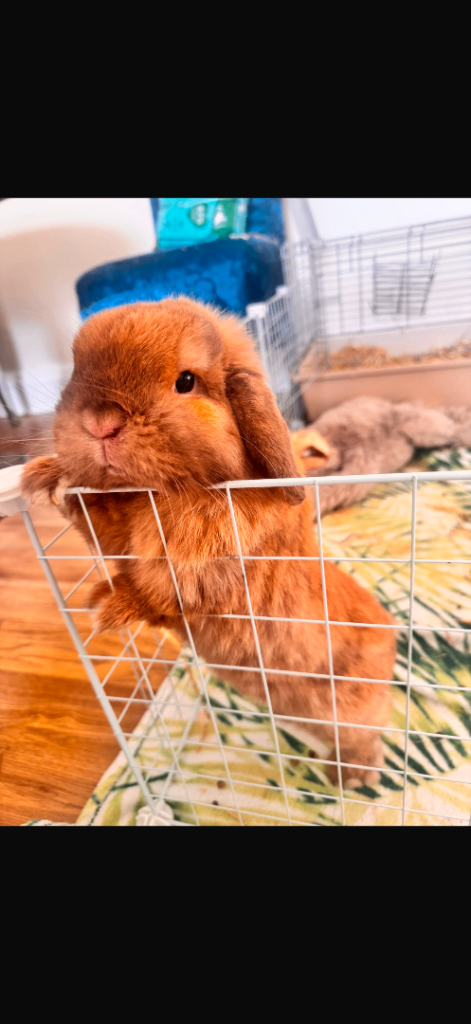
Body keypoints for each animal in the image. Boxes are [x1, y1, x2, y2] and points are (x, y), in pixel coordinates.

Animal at [22, 298, 396, 789]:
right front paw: (46, 477)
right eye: (75, 368)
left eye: (186, 381)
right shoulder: (123, 539)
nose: (101, 424)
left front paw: (110, 607)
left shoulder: (199, 579)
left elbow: (159, 595)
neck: (173, 492)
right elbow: (98, 525)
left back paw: (347, 779)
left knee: (365, 743)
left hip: (353, 718)